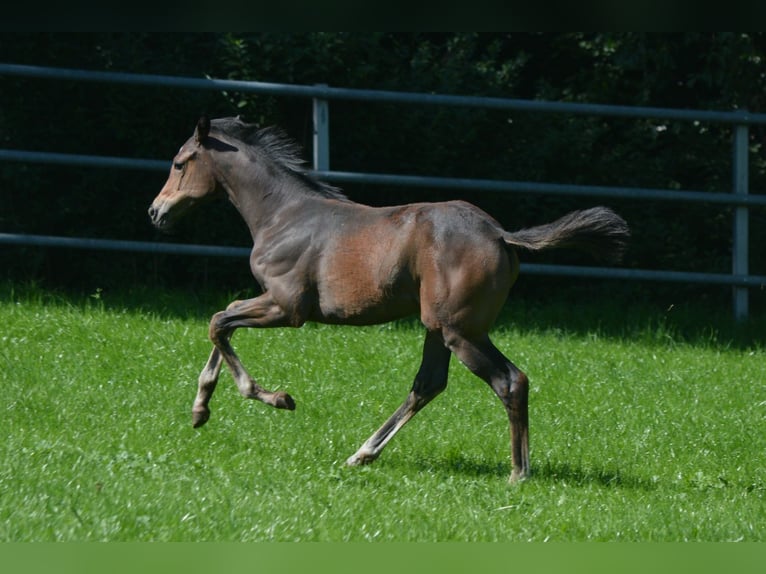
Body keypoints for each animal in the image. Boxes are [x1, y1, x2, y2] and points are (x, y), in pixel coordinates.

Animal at [148, 116, 632, 482]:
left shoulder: (287, 306)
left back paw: (518, 473)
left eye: (178, 162)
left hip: (461, 331)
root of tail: (500, 234)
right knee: (428, 384)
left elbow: (218, 321)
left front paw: (276, 398)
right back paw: (362, 453)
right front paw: (200, 410)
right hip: (439, 327)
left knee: (509, 381)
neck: (283, 214)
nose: (156, 211)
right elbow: (224, 319)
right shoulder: (271, 302)